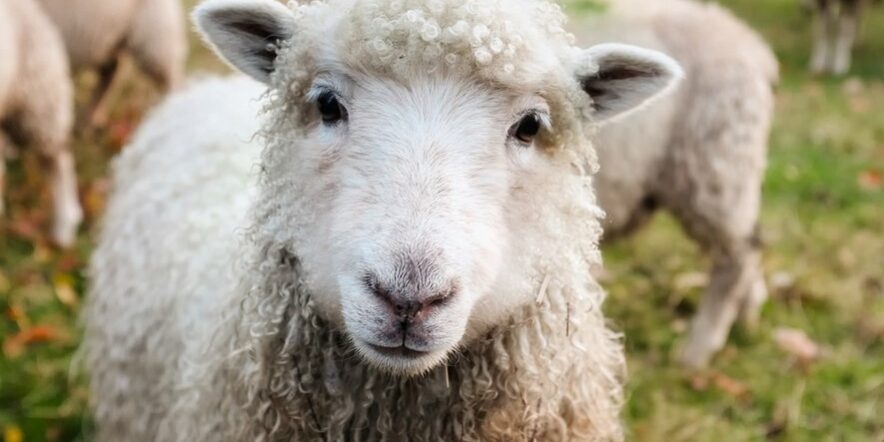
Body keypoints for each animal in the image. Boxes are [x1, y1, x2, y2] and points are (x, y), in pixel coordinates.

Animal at [570, 0, 778, 369]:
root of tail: (754, 46)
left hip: (714, 164)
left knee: (738, 255)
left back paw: (698, 349)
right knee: (750, 242)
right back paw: (749, 313)